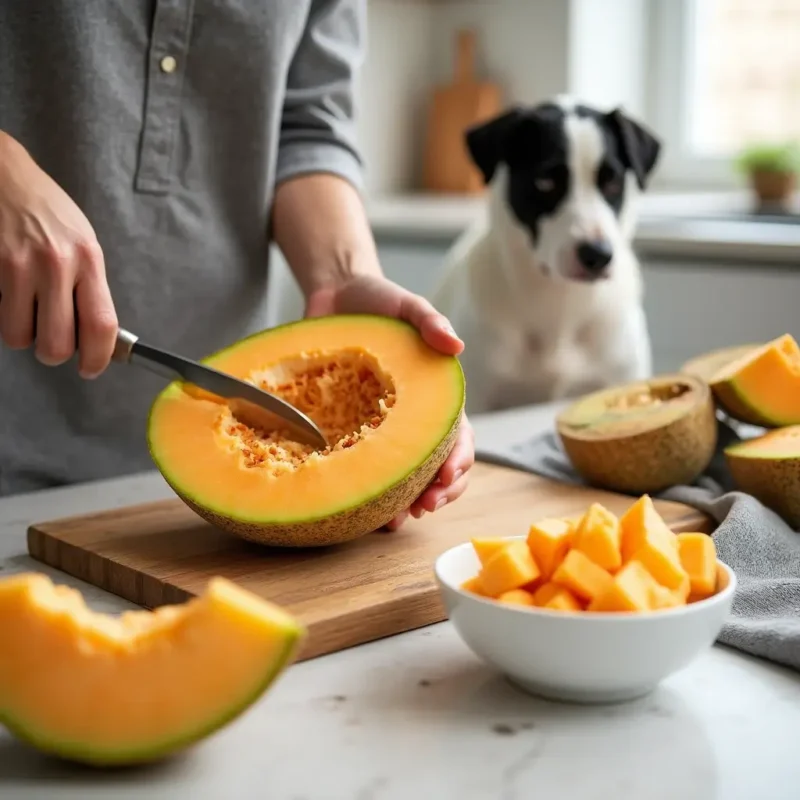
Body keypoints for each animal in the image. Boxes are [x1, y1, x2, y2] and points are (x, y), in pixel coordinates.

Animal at [432, 97, 664, 416]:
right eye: (545, 181)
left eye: (612, 182)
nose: (598, 255)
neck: (560, 301)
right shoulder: (481, 395)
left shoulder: (620, 374)